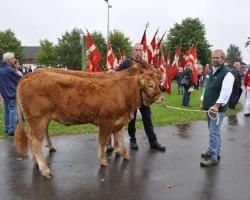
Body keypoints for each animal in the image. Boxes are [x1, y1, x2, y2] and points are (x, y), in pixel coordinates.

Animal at [15, 70, 164, 178]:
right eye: (150, 85)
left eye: (158, 83)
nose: (162, 98)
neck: (123, 93)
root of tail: (29, 76)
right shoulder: (106, 121)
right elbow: (102, 141)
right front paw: (103, 161)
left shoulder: (119, 123)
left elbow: (120, 140)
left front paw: (125, 155)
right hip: (39, 119)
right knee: (36, 143)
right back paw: (45, 170)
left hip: (35, 122)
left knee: (30, 138)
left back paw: (36, 162)